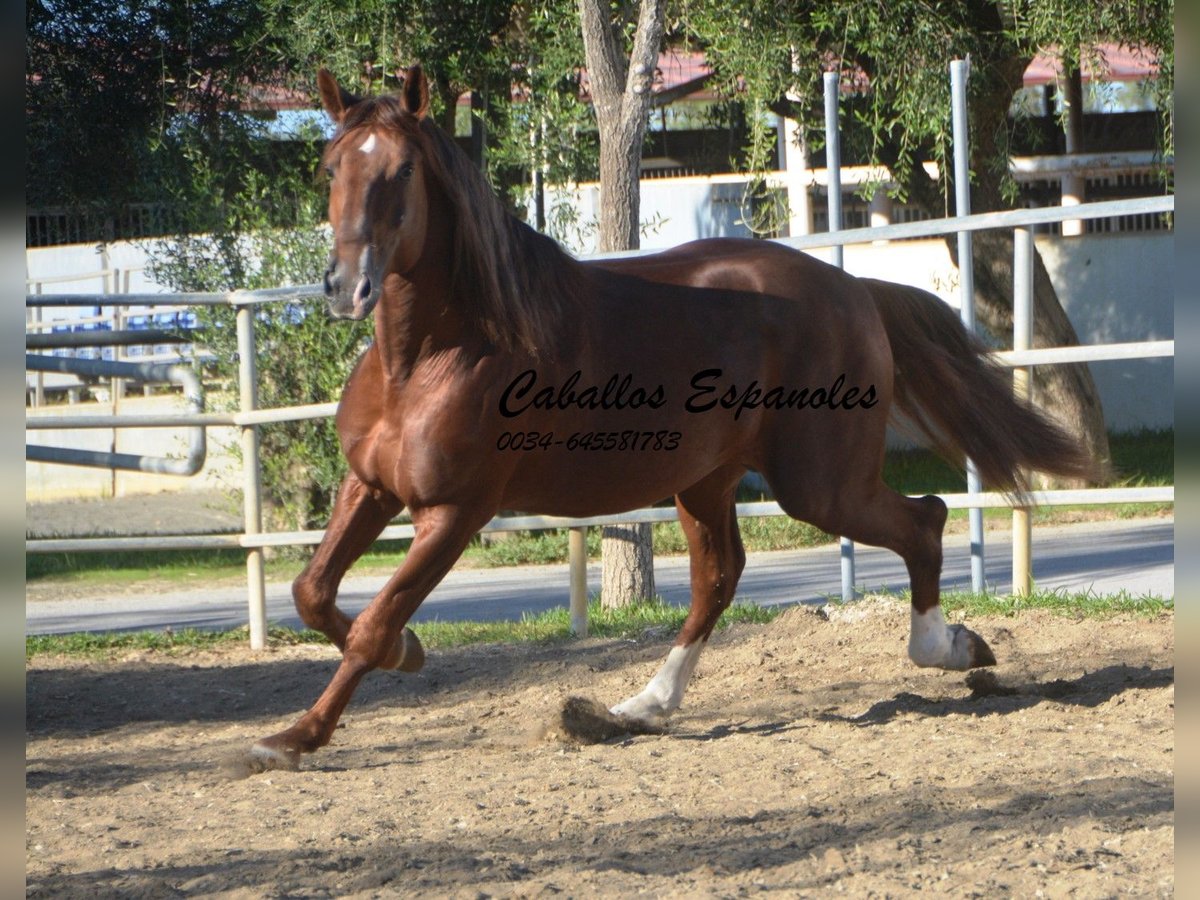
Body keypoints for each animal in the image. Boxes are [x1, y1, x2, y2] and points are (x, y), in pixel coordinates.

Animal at [250, 65, 1099, 768]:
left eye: (400, 173)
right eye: (330, 167)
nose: (346, 287)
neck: (434, 357)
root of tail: (853, 289)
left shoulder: (455, 513)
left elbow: (371, 620)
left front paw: (293, 737)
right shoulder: (371, 487)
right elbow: (311, 593)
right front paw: (411, 654)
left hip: (819, 485)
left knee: (922, 520)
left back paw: (949, 647)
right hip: (707, 481)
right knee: (719, 581)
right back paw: (641, 706)